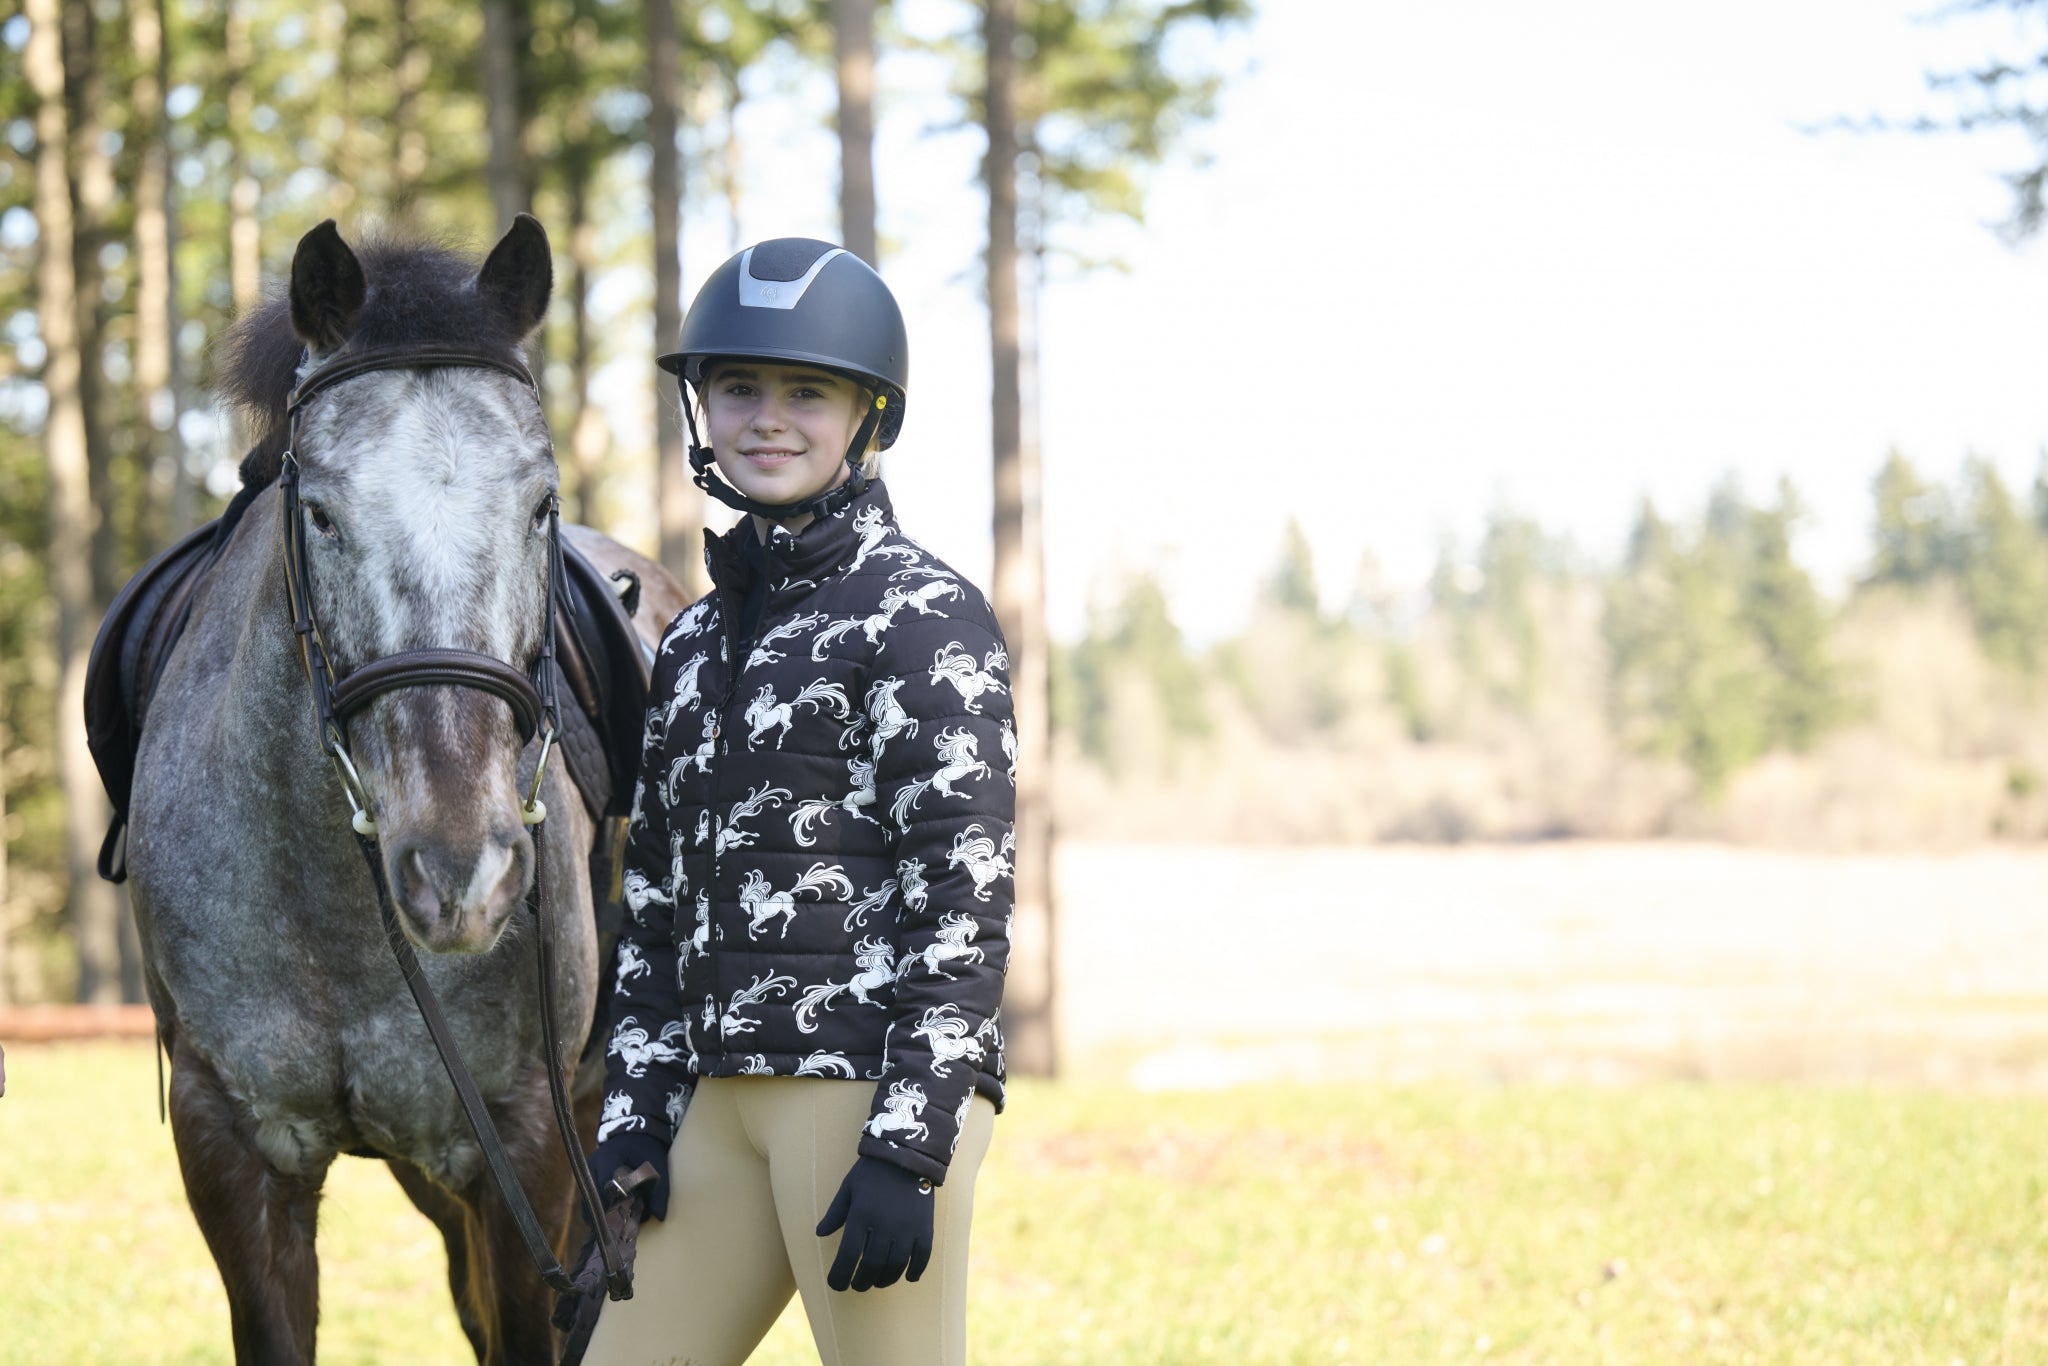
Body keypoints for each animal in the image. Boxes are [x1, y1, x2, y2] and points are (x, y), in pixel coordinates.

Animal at [120, 217, 684, 1365]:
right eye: (322, 514)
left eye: (541, 503)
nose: (462, 869)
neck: (338, 916)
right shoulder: (232, 1147)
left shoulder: (526, 1145)